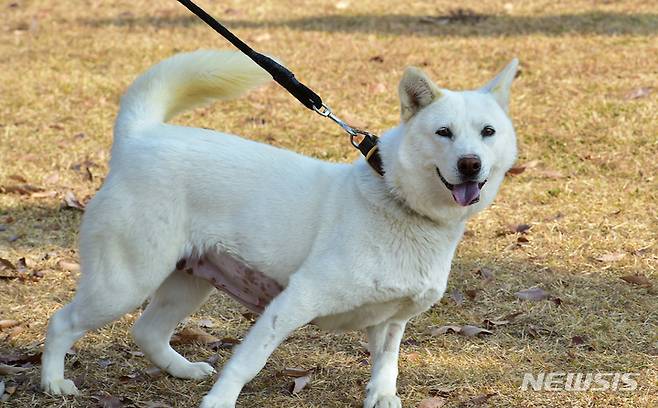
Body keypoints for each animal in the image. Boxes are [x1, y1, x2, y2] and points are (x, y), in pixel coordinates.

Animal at [41, 49, 516, 406]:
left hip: (188, 282)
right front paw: (219, 403)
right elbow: (247, 363)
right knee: (61, 322)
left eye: (488, 132)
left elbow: (386, 364)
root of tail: (139, 137)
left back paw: (183, 369)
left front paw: (381, 398)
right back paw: (53, 382)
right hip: (125, 282)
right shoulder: (294, 302)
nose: (470, 164)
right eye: (443, 132)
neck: (398, 203)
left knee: (147, 330)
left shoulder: (391, 321)